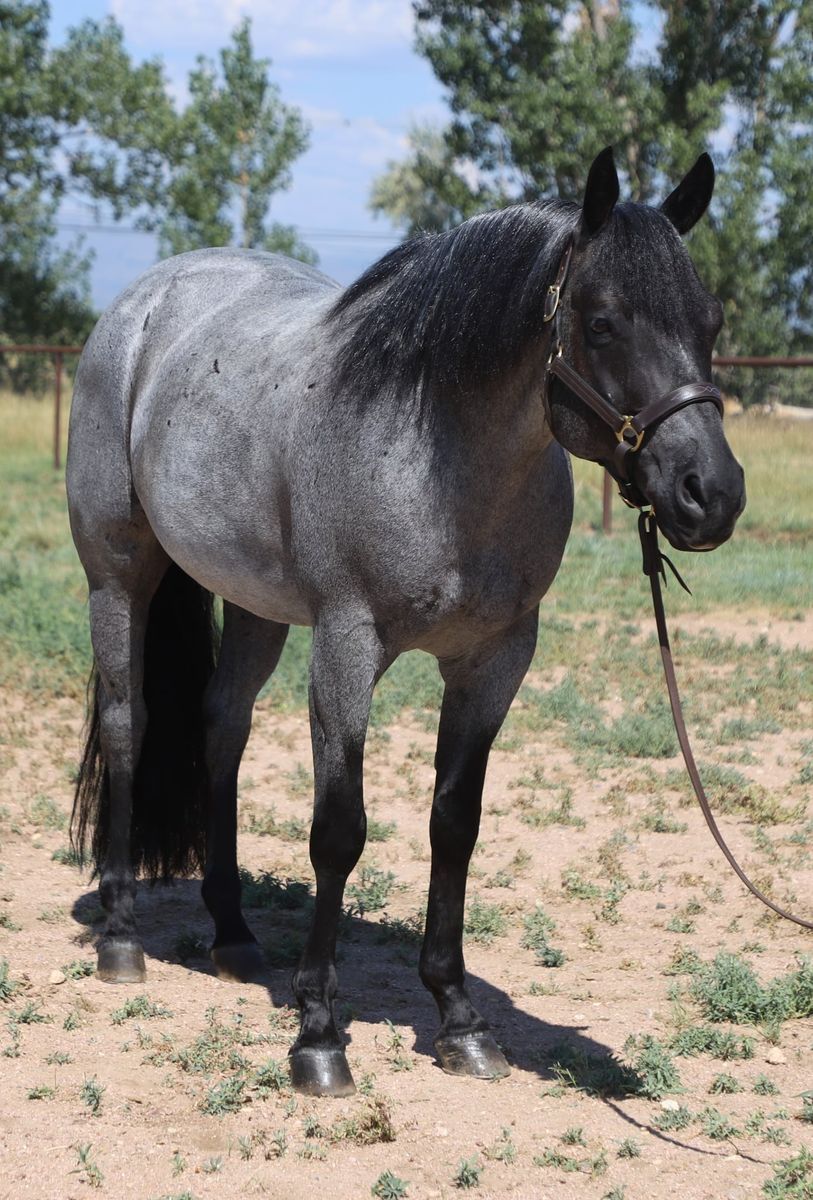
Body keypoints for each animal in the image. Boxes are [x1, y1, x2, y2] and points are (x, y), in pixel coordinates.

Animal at [67, 146, 745, 1097]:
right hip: (118, 575)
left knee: (220, 730)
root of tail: (146, 302)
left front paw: (459, 1020)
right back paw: (122, 934)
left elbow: (453, 826)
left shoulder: (495, 663)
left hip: (254, 607)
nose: (708, 496)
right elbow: (338, 832)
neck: (439, 459)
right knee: (130, 724)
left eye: (709, 319)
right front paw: (319, 1036)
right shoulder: (347, 647)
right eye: (604, 322)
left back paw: (234, 937)